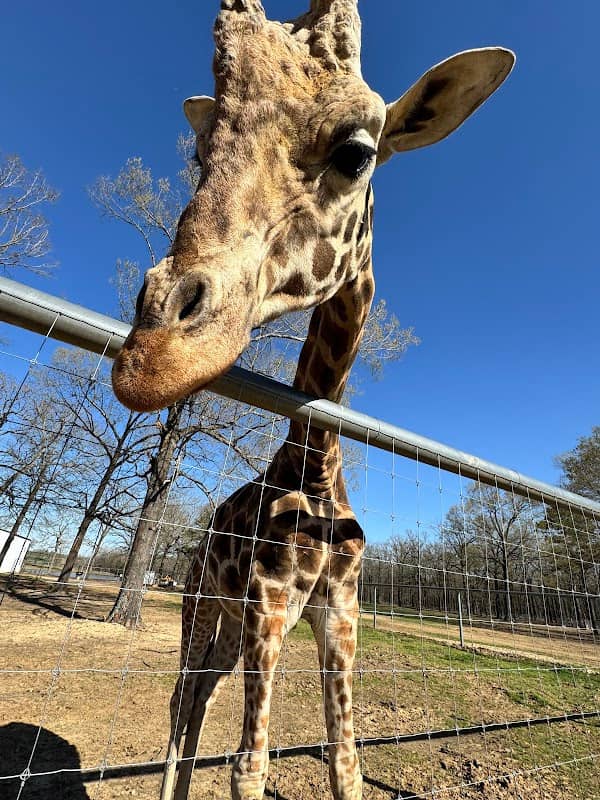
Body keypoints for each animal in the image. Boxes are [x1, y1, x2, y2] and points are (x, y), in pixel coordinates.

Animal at [111, 3, 514, 798]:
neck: (320, 463)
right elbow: (250, 764)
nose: (154, 355)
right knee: (181, 697)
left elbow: (346, 759)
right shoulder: (270, 603)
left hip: (226, 622)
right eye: (200, 154)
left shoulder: (341, 610)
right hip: (201, 601)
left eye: (357, 153)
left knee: (199, 696)